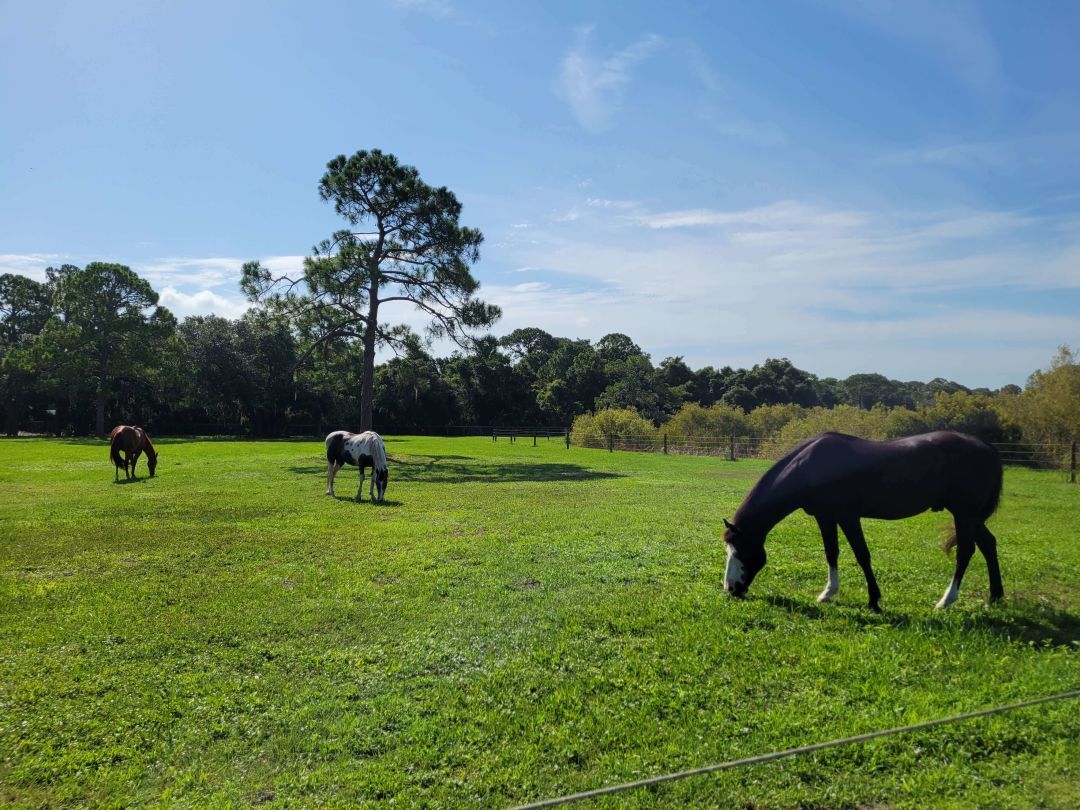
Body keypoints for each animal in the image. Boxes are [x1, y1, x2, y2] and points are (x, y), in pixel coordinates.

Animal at [725, 434, 1002, 613]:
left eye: (739, 552)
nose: (730, 589)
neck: (812, 467)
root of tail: (987, 448)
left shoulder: (848, 517)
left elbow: (862, 555)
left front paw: (874, 600)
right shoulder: (825, 516)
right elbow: (831, 553)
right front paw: (828, 593)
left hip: (964, 514)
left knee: (966, 551)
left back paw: (946, 601)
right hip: (971, 516)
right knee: (989, 544)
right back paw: (995, 597)